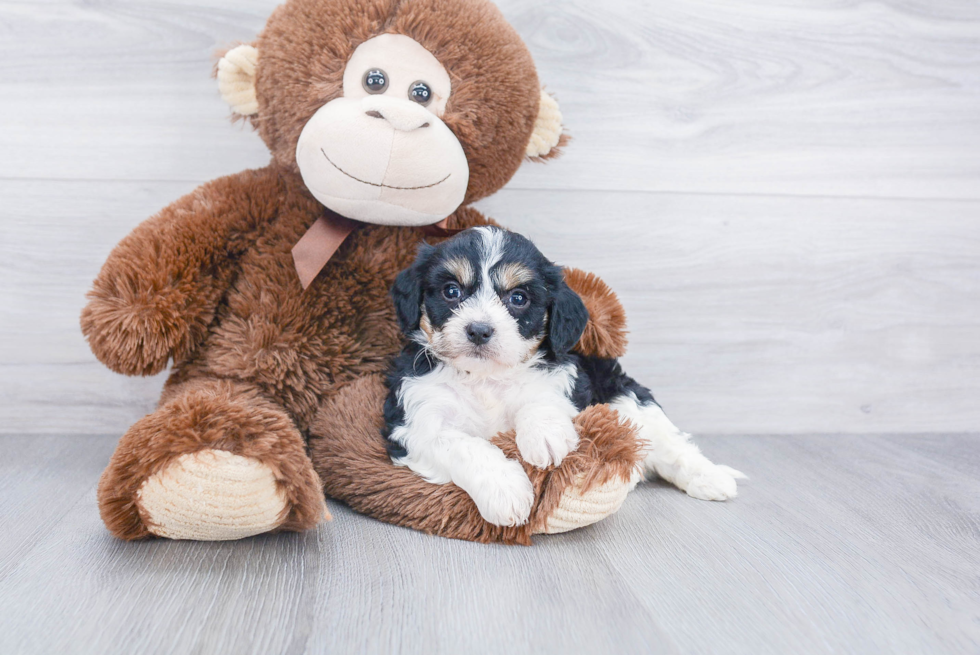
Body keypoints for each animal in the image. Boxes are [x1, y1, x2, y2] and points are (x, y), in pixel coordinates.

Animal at [384, 227, 752, 528]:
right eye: (451, 291)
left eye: (519, 298)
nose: (479, 330)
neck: (485, 378)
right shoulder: (413, 422)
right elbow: (462, 444)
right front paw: (505, 489)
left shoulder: (565, 379)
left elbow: (542, 400)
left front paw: (544, 437)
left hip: (625, 399)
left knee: (669, 444)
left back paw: (711, 478)